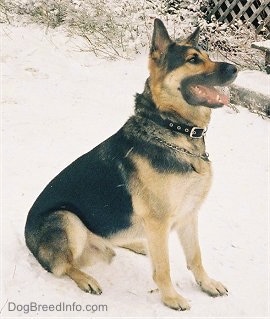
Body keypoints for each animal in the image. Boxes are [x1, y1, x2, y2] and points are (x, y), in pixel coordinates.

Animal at [24, 18, 236, 312]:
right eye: (193, 60)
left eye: (206, 56)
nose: (235, 69)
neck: (172, 128)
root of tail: (26, 237)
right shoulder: (160, 220)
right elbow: (164, 268)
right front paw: (171, 297)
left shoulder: (188, 215)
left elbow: (195, 256)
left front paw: (206, 284)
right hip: (67, 218)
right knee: (62, 266)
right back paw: (86, 278)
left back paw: (136, 243)